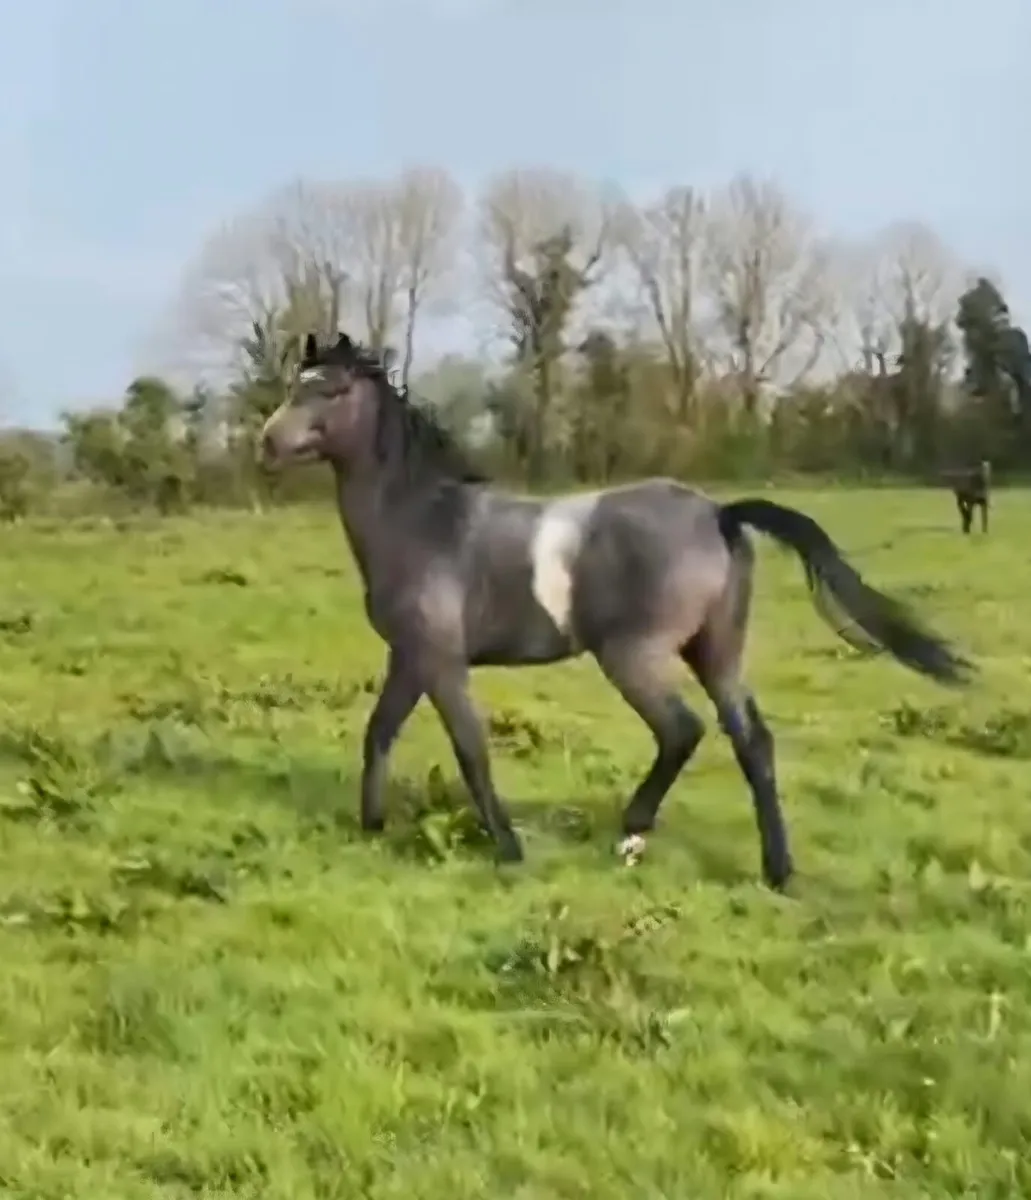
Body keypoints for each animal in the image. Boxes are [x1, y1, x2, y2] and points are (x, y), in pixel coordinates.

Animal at [259, 331, 974, 890]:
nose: (267, 442)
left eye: (330, 390)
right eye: (299, 383)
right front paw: (372, 825)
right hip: (715, 650)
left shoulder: (439, 659)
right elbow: (379, 732)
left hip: (634, 654)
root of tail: (719, 514)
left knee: (683, 730)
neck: (422, 523)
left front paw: (508, 848)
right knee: (751, 739)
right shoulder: (409, 657)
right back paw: (777, 870)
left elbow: (469, 750)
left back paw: (633, 832)